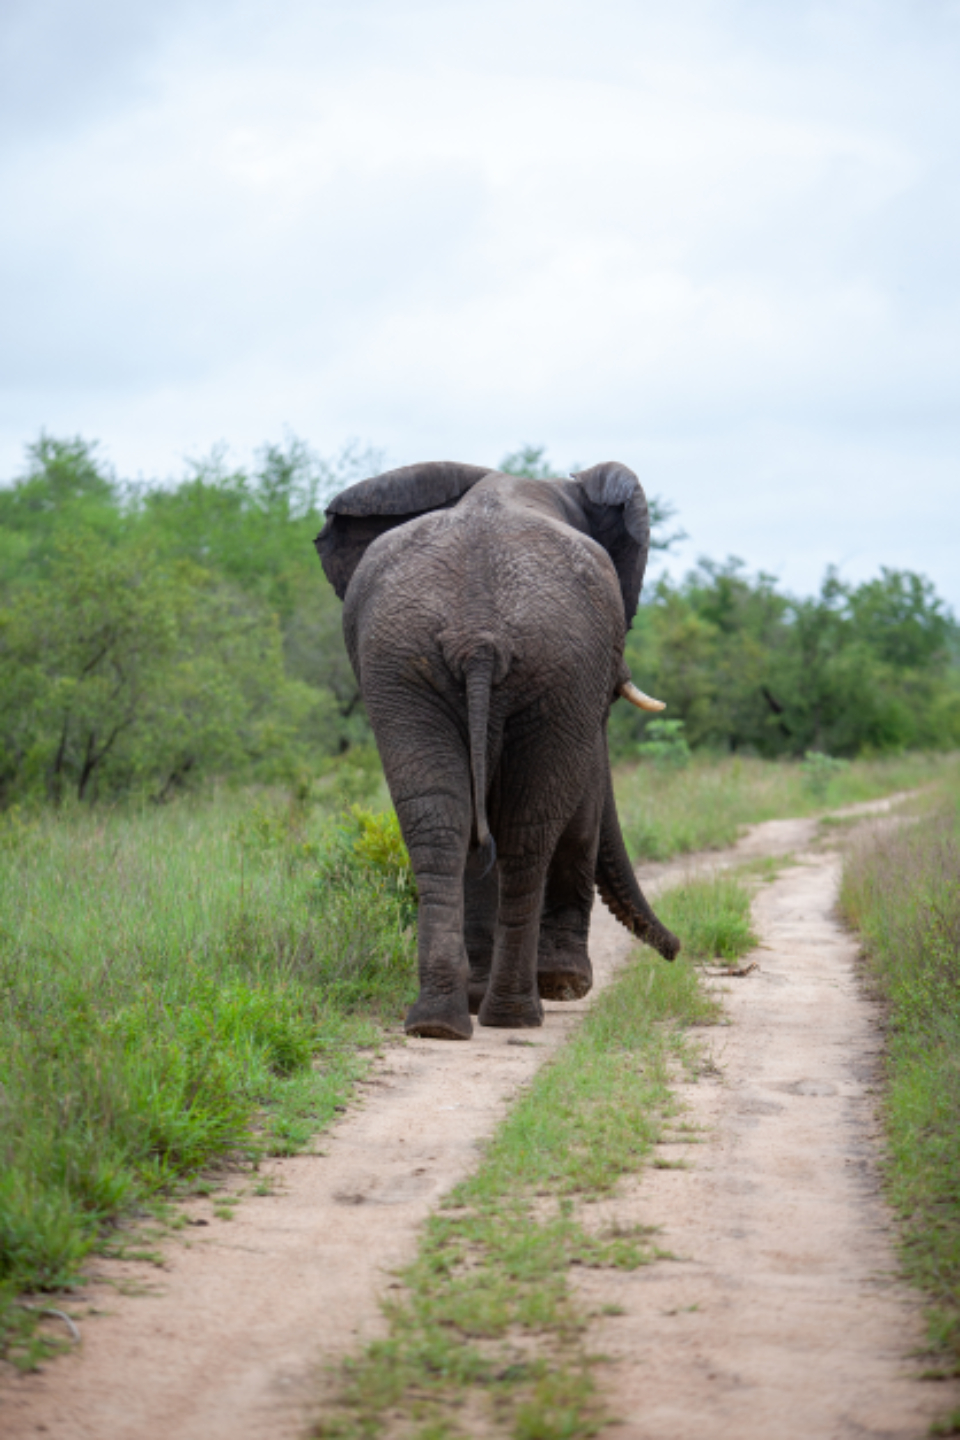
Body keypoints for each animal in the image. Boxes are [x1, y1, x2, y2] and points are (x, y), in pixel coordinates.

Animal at [314, 459, 680, 1040]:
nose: (677, 951)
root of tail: (478, 635)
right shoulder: (586, 687)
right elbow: (583, 806)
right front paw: (566, 983)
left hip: (402, 665)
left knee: (440, 822)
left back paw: (440, 1021)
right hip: (554, 667)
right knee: (528, 834)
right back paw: (517, 1011)